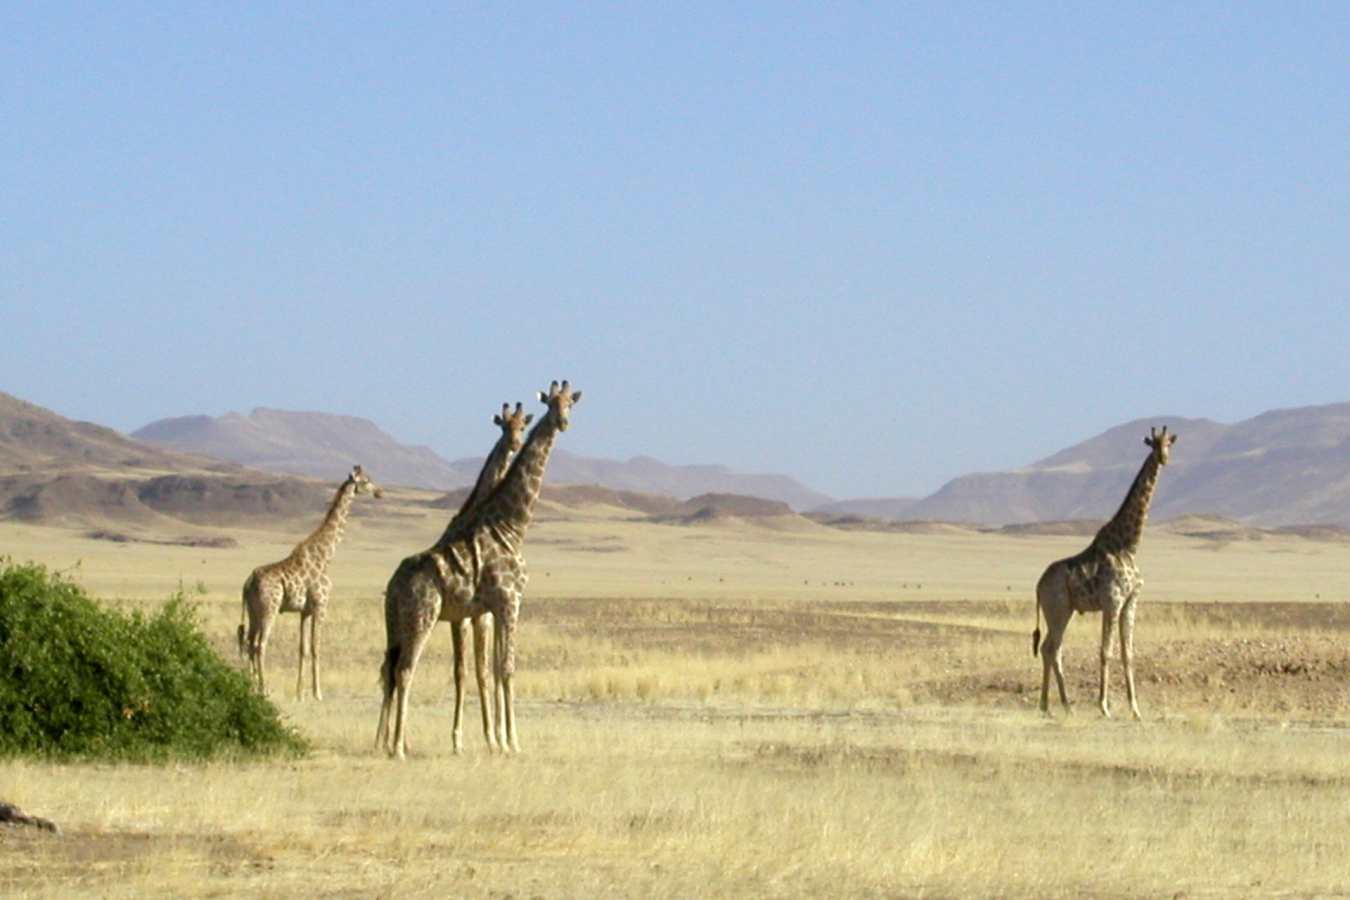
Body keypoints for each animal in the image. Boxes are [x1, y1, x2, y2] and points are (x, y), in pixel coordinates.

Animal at [238, 465, 382, 699]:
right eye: (366, 480)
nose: (380, 492)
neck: (325, 556)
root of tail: (248, 582)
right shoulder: (321, 605)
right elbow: (316, 647)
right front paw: (318, 693)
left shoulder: (305, 611)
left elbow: (303, 649)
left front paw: (300, 694)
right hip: (270, 608)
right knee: (260, 644)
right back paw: (263, 688)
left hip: (253, 612)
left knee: (249, 643)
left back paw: (251, 686)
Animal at [376, 380, 581, 759]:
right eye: (551, 403)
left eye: (570, 404)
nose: (563, 423)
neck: (510, 526)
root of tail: (394, 584)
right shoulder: (508, 602)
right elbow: (504, 669)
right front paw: (510, 742)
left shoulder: (488, 610)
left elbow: (493, 670)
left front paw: (495, 739)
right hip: (423, 616)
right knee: (405, 669)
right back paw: (396, 747)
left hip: (396, 622)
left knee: (391, 669)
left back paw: (389, 741)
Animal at [1033, 426, 1178, 719]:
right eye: (1153, 444)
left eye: (1169, 443)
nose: (1164, 458)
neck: (1129, 545)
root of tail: (1037, 586)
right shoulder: (1113, 601)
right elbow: (1106, 651)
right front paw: (1104, 707)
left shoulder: (1129, 602)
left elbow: (1128, 652)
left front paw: (1135, 710)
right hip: (1058, 609)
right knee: (1050, 648)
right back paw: (1053, 704)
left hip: (1063, 611)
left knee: (1052, 649)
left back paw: (1057, 705)